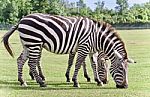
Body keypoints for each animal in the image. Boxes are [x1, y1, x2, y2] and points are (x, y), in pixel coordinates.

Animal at [2, 13, 134, 88]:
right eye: (121, 69)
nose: (126, 86)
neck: (97, 37)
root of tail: (21, 20)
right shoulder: (83, 46)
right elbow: (78, 64)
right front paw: (75, 81)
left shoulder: (91, 50)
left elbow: (93, 65)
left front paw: (98, 81)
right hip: (34, 43)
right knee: (32, 62)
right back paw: (41, 82)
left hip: (28, 44)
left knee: (20, 60)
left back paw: (22, 81)